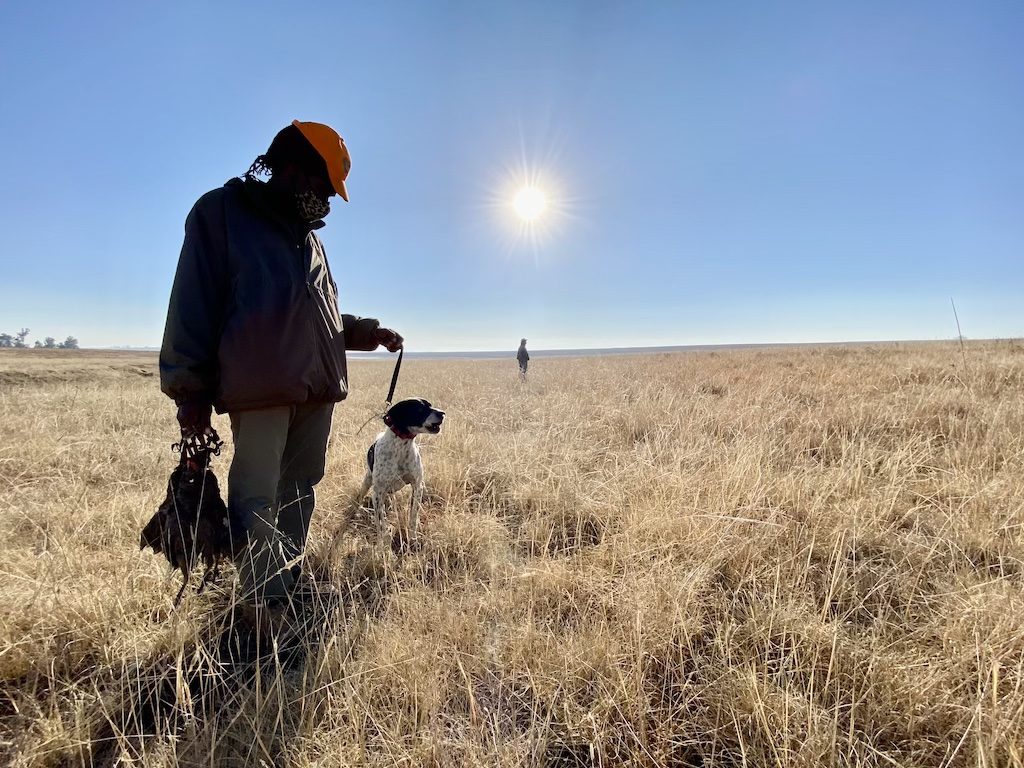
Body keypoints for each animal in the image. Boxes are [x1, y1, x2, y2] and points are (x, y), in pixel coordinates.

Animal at [356, 399, 444, 544]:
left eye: (430, 405)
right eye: (419, 409)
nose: (443, 413)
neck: (402, 445)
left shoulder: (417, 486)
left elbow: (413, 516)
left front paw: (413, 537)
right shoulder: (377, 493)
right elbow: (381, 523)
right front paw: (383, 542)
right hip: (367, 481)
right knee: (363, 498)